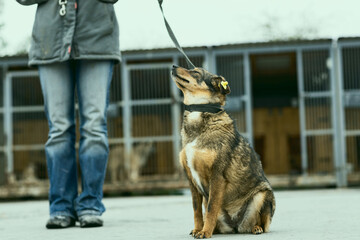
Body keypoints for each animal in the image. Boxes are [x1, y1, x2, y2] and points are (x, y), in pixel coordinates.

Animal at [172, 65, 276, 238]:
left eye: (196, 72)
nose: (173, 66)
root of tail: (235, 226)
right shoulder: (191, 180)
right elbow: (197, 211)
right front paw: (199, 229)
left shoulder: (217, 175)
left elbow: (211, 208)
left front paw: (205, 232)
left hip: (263, 194)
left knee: (262, 222)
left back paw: (256, 228)